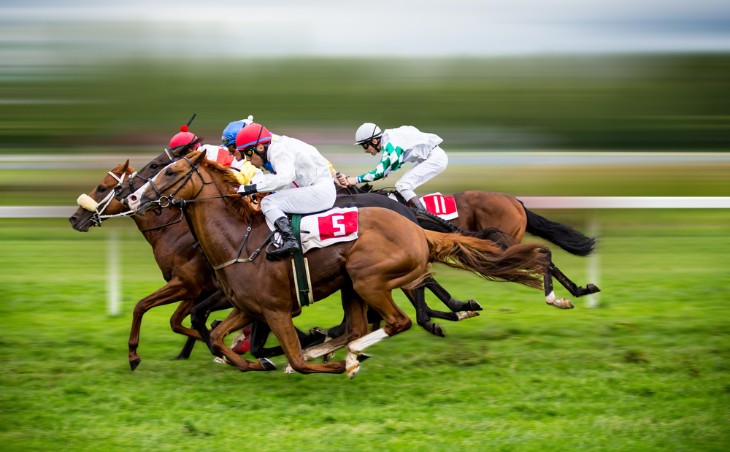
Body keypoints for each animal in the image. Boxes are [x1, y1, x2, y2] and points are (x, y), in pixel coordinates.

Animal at [123, 150, 544, 376]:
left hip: (366, 280)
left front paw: (324, 361)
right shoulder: (247, 307)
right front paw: (256, 362)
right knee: (359, 325)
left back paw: (353, 353)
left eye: (170, 170)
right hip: (351, 287)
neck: (238, 241)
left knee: (396, 321)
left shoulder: (275, 310)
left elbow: (293, 358)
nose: (133, 198)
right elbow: (216, 335)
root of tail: (415, 227)